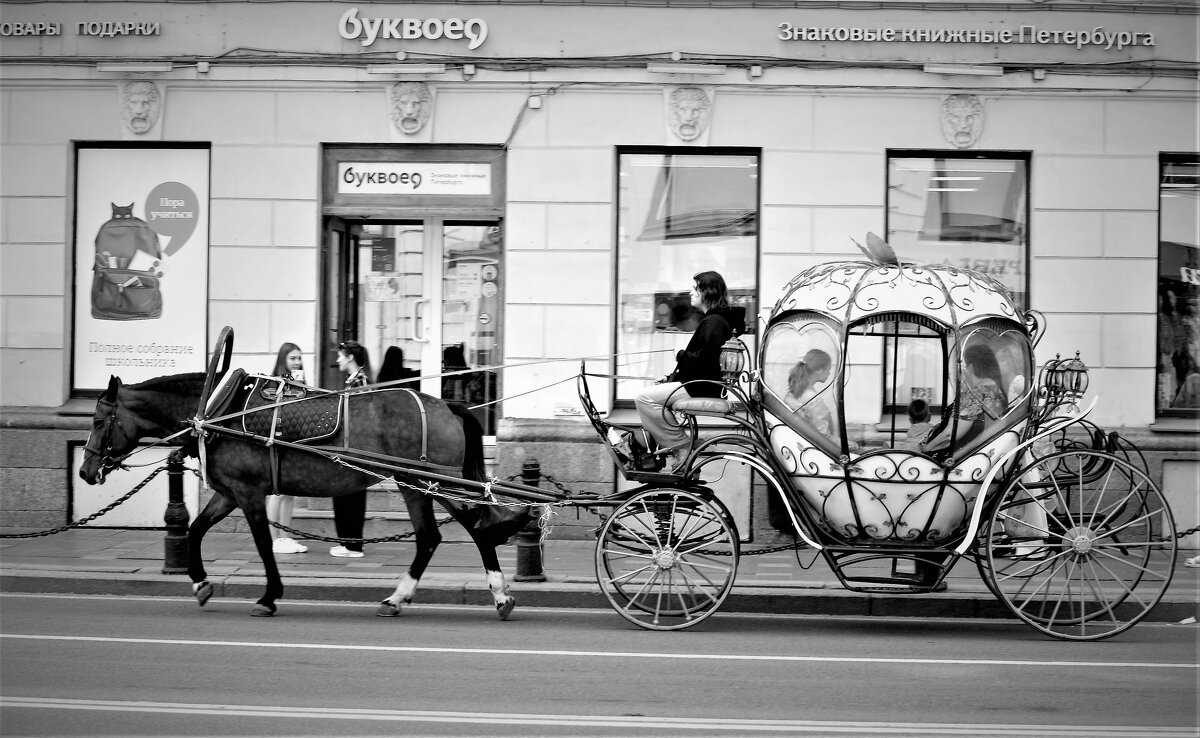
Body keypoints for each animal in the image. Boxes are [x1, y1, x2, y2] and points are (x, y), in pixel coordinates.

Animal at [78, 372, 530, 619]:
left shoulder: (249, 492)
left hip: (425, 481)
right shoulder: (230, 493)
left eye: (99, 420)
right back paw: (399, 598)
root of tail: (447, 405)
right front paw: (201, 583)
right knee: (431, 537)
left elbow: (262, 543)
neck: (219, 411)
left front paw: (268, 596)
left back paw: (499, 593)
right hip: (416, 484)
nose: (85, 470)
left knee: (472, 528)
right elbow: (194, 530)